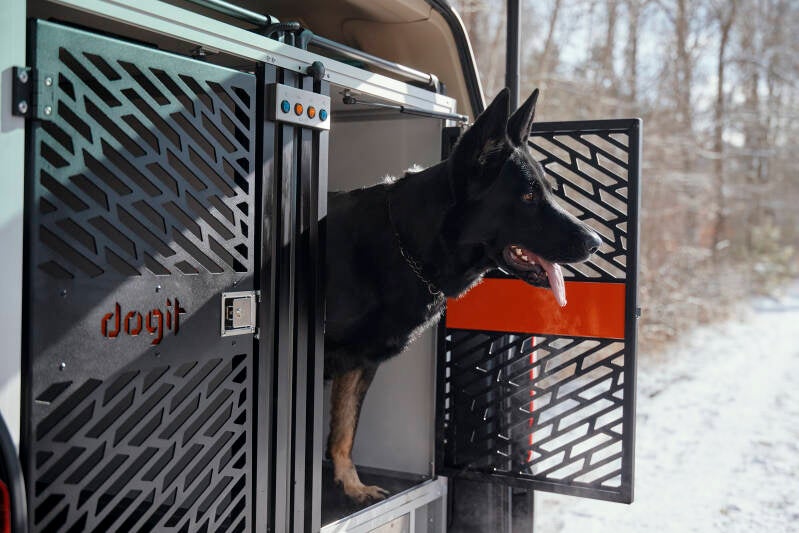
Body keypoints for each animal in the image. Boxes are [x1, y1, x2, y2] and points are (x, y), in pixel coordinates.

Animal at [324, 88, 602, 503]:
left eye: (550, 192)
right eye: (528, 196)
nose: (595, 242)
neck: (406, 243)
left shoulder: (359, 363)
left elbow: (345, 430)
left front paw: (352, 485)